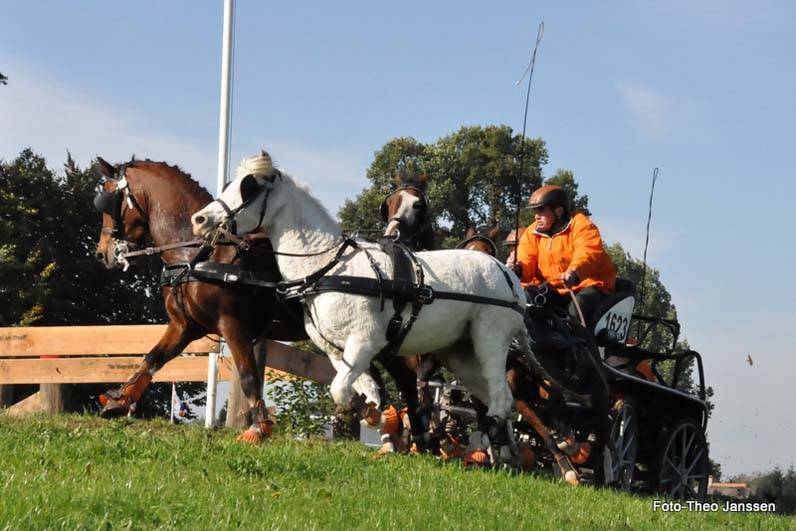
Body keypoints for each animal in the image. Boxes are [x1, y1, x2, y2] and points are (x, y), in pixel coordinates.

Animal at [93, 157, 306, 443]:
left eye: (107, 199)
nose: (101, 253)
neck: (197, 253)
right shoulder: (185, 325)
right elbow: (153, 357)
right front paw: (121, 399)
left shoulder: (232, 324)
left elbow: (249, 376)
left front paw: (258, 428)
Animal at [191, 151, 540, 462]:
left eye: (248, 187)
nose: (200, 219)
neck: (330, 268)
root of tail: (507, 274)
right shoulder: (338, 351)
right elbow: (364, 391)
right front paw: (385, 423)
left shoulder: (365, 342)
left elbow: (342, 391)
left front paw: (393, 429)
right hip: (461, 354)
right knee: (498, 398)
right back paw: (503, 452)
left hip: (489, 340)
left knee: (500, 396)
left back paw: (489, 443)